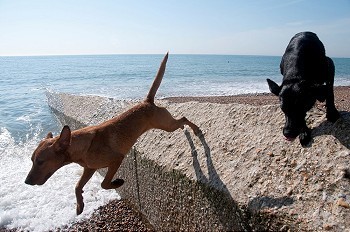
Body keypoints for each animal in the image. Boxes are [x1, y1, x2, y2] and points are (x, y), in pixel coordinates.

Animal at [24, 53, 201, 215]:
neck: (82, 146)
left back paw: (196, 130)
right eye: (32, 160)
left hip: (166, 124)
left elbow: (104, 183)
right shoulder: (89, 168)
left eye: (40, 161)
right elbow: (77, 186)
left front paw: (117, 182)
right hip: (166, 123)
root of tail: (147, 101)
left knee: (183, 119)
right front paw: (80, 205)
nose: (26, 181)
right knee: (181, 122)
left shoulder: (116, 159)